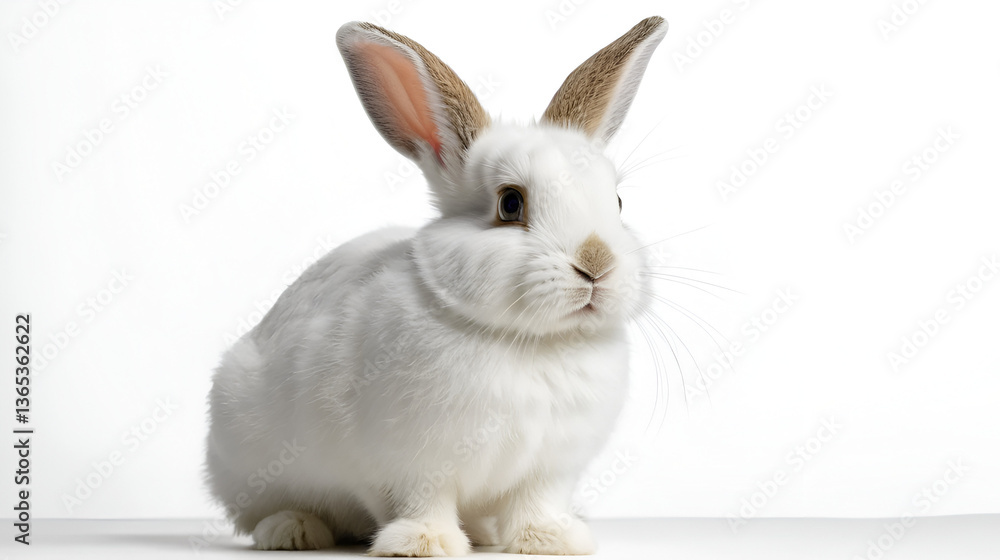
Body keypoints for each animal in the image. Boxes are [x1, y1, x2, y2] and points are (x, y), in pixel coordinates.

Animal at [205, 15, 668, 557]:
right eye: (510, 204)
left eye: (616, 202)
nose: (597, 264)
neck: (531, 341)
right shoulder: (408, 461)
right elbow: (419, 500)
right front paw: (422, 542)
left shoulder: (550, 469)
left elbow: (536, 502)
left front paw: (551, 539)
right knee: (268, 508)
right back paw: (293, 530)